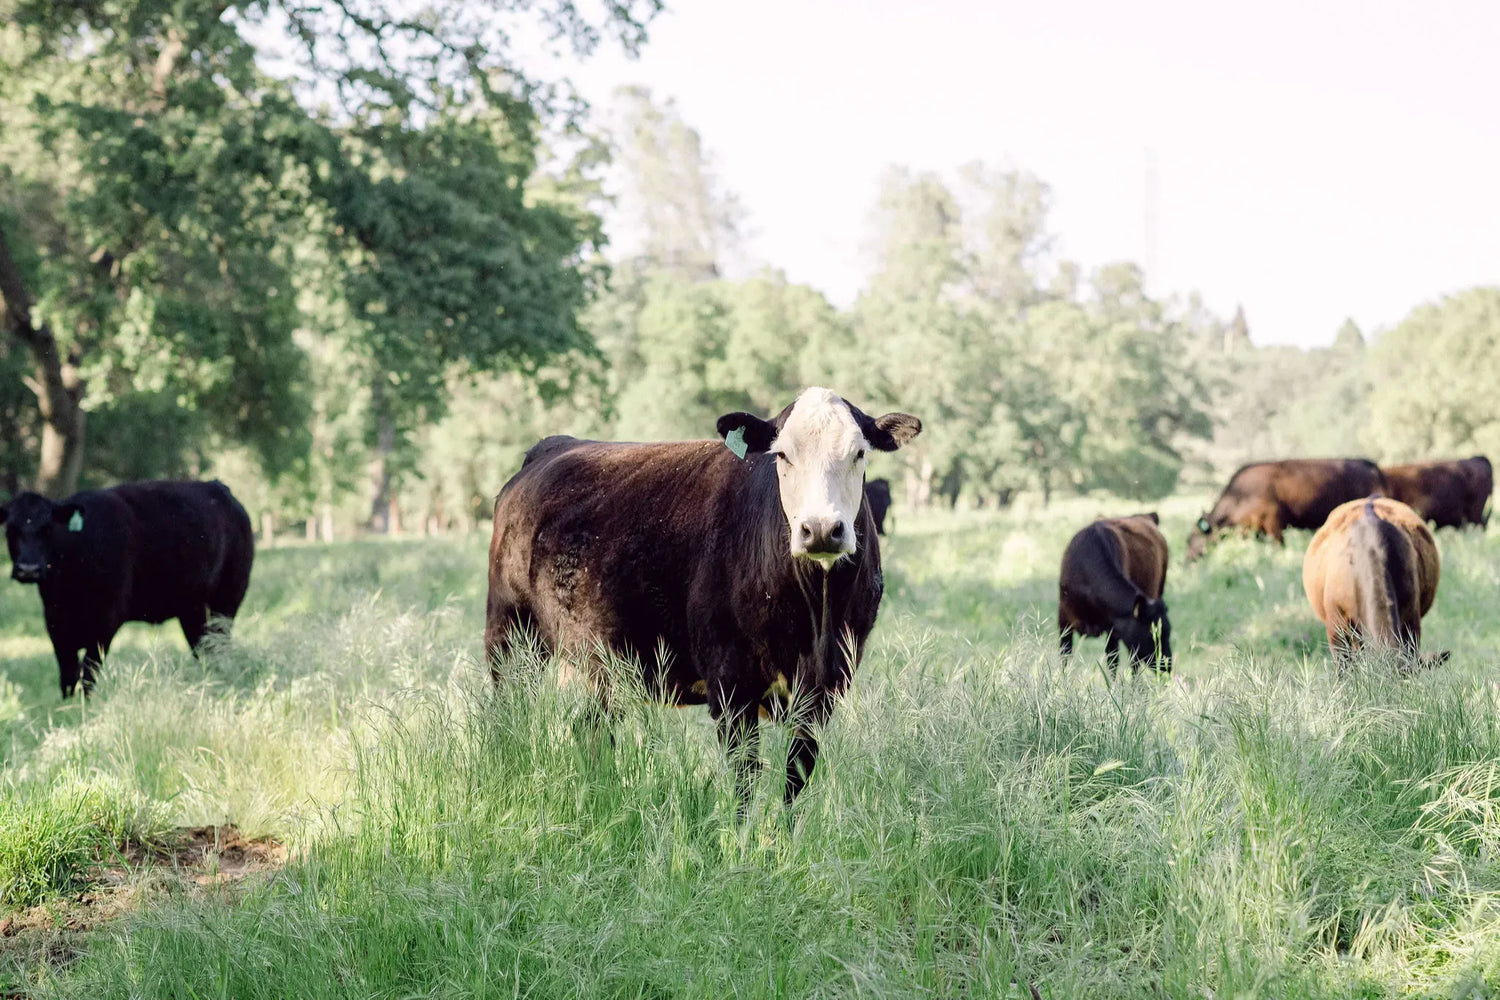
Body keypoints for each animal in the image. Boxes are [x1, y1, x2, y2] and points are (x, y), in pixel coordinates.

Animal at [0, 482, 255, 701]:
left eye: (48, 529)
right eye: (11, 529)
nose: (29, 569)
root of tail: (219, 487)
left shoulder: (105, 623)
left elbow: (89, 673)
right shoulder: (56, 625)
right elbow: (68, 676)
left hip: (227, 601)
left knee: (219, 644)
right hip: (192, 608)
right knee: (203, 647)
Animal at [486, 386, 918, 809]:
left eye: (859, 452)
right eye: (782, 454)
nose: (823, 529)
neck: (815, 616)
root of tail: (554, 446)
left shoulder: (825, 689)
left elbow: (796, 777)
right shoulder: (731, 685)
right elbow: (746, 778)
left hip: (597, 661)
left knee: (591, 728)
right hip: (509, 635)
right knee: (508, 710)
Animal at [1056, 515, 1170, 671]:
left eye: (1169, 632)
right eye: (1151, 635)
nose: (1167, 665)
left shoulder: (1113, 629)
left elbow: (1112, 662)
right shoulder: (1063, 620)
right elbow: (1065, 657)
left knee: (1134, 663)